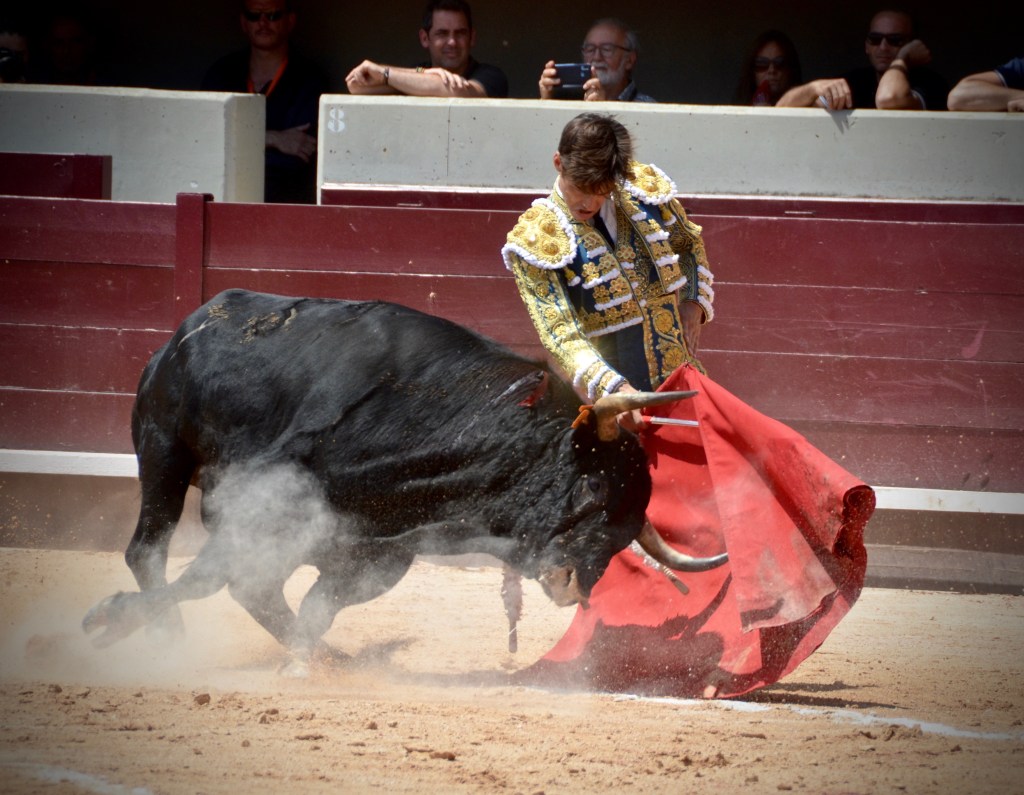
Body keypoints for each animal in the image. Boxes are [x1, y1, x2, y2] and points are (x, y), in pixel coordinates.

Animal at [83, 289, 726, 675]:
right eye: (592, 488)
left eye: (623, 537)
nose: (574, 584)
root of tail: (187, 328)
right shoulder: (267, 499)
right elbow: (206, 577)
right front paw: (107, 619)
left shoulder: (378, 555)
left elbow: (314, 604)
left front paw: (306, 660)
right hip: (163, 453)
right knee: (150, 551)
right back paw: (165, 636)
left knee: (257, 590)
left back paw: (332, 657)